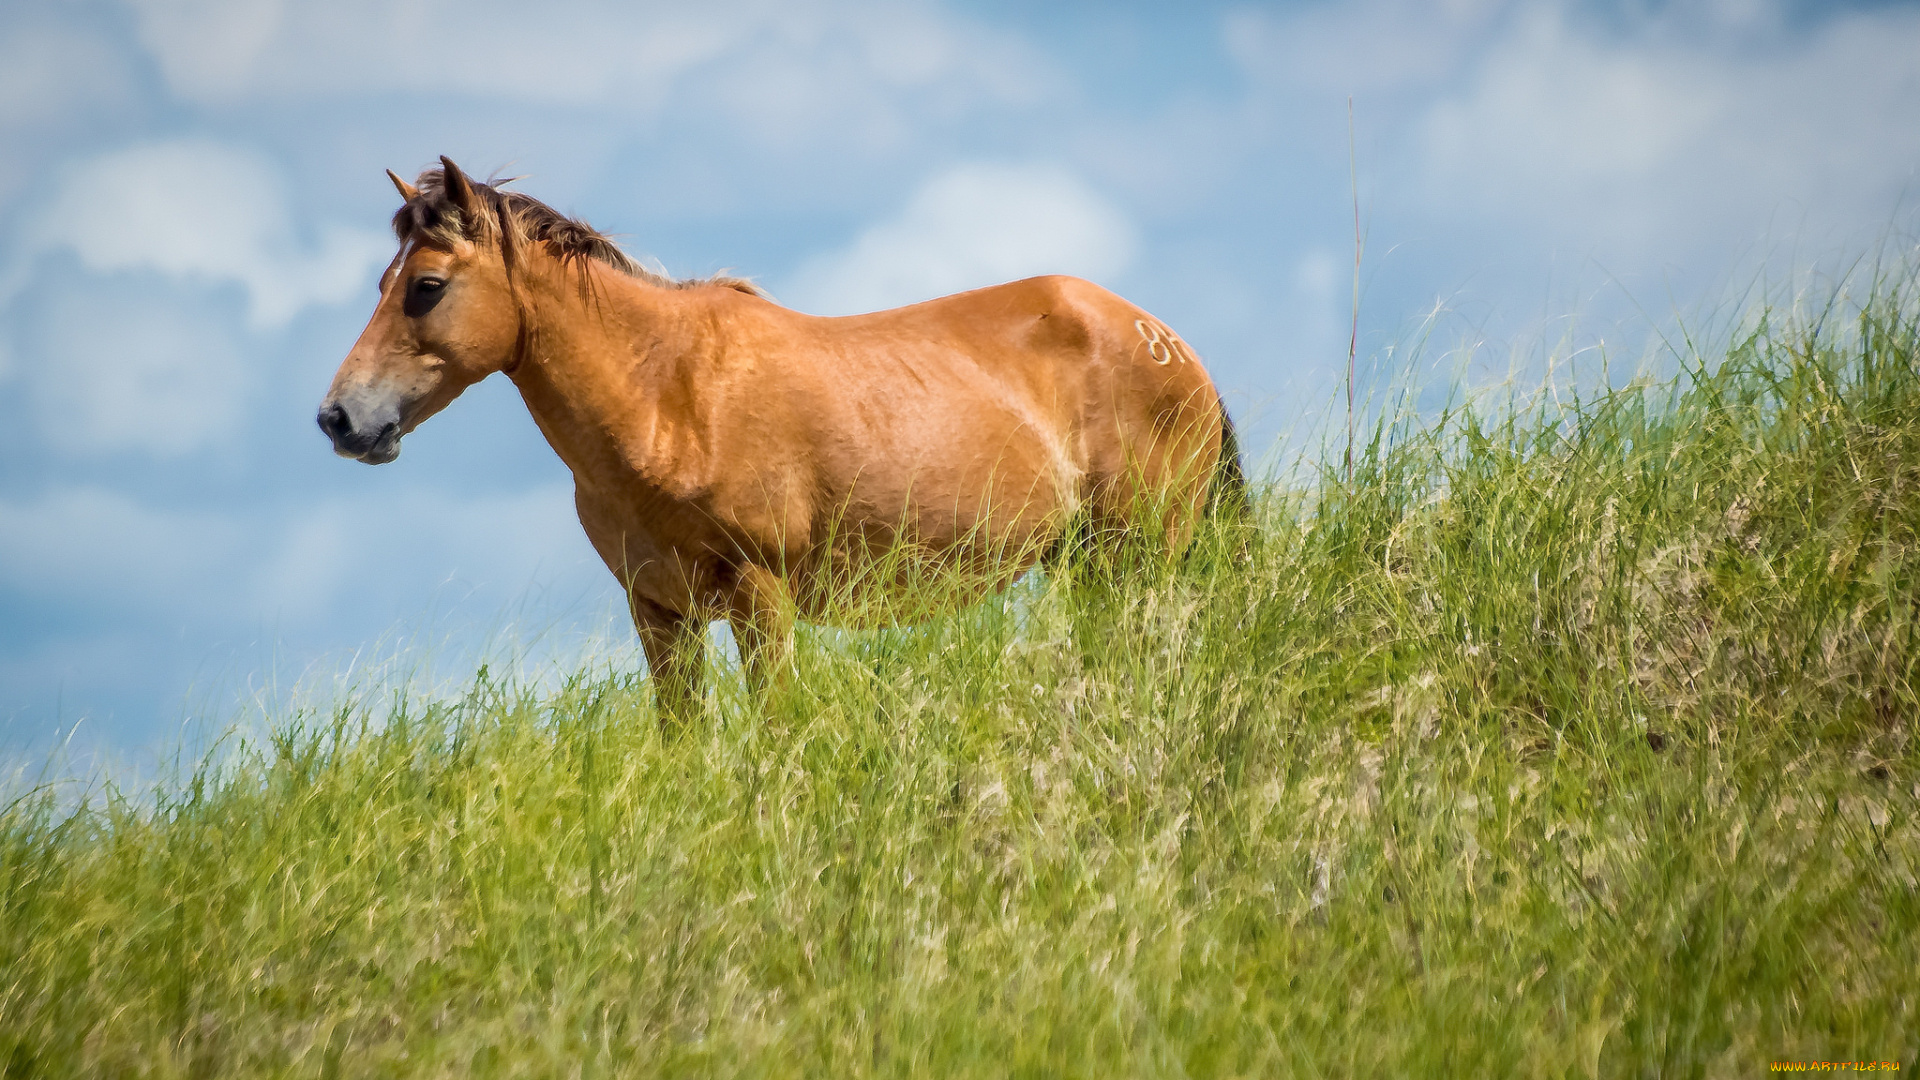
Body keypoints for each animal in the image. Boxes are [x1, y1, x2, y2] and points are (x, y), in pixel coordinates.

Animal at [318, 157, 1244, 714]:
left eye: (427, 287)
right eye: (385, 281)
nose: (339, 419)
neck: (671, 398)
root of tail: (1168, 342)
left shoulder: (762, 600)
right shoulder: (660, 614)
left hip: (1137, 556)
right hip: (1084, 563)